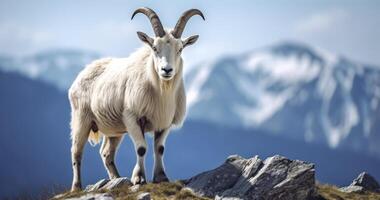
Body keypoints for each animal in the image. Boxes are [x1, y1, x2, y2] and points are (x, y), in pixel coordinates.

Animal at [68, 7, 205, 191]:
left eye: (180, 48)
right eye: (154, 47)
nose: (166, 70)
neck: (161, 92)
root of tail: (83, 72)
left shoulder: (165, 123)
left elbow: (159, 148)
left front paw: (161, 177)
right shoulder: (132, 118)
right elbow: (141, 148)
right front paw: (139, 178)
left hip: (114, 130)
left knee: (106, 153)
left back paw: (116, 178)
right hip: (81, 119)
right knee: (76, 152)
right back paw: (76, 187)